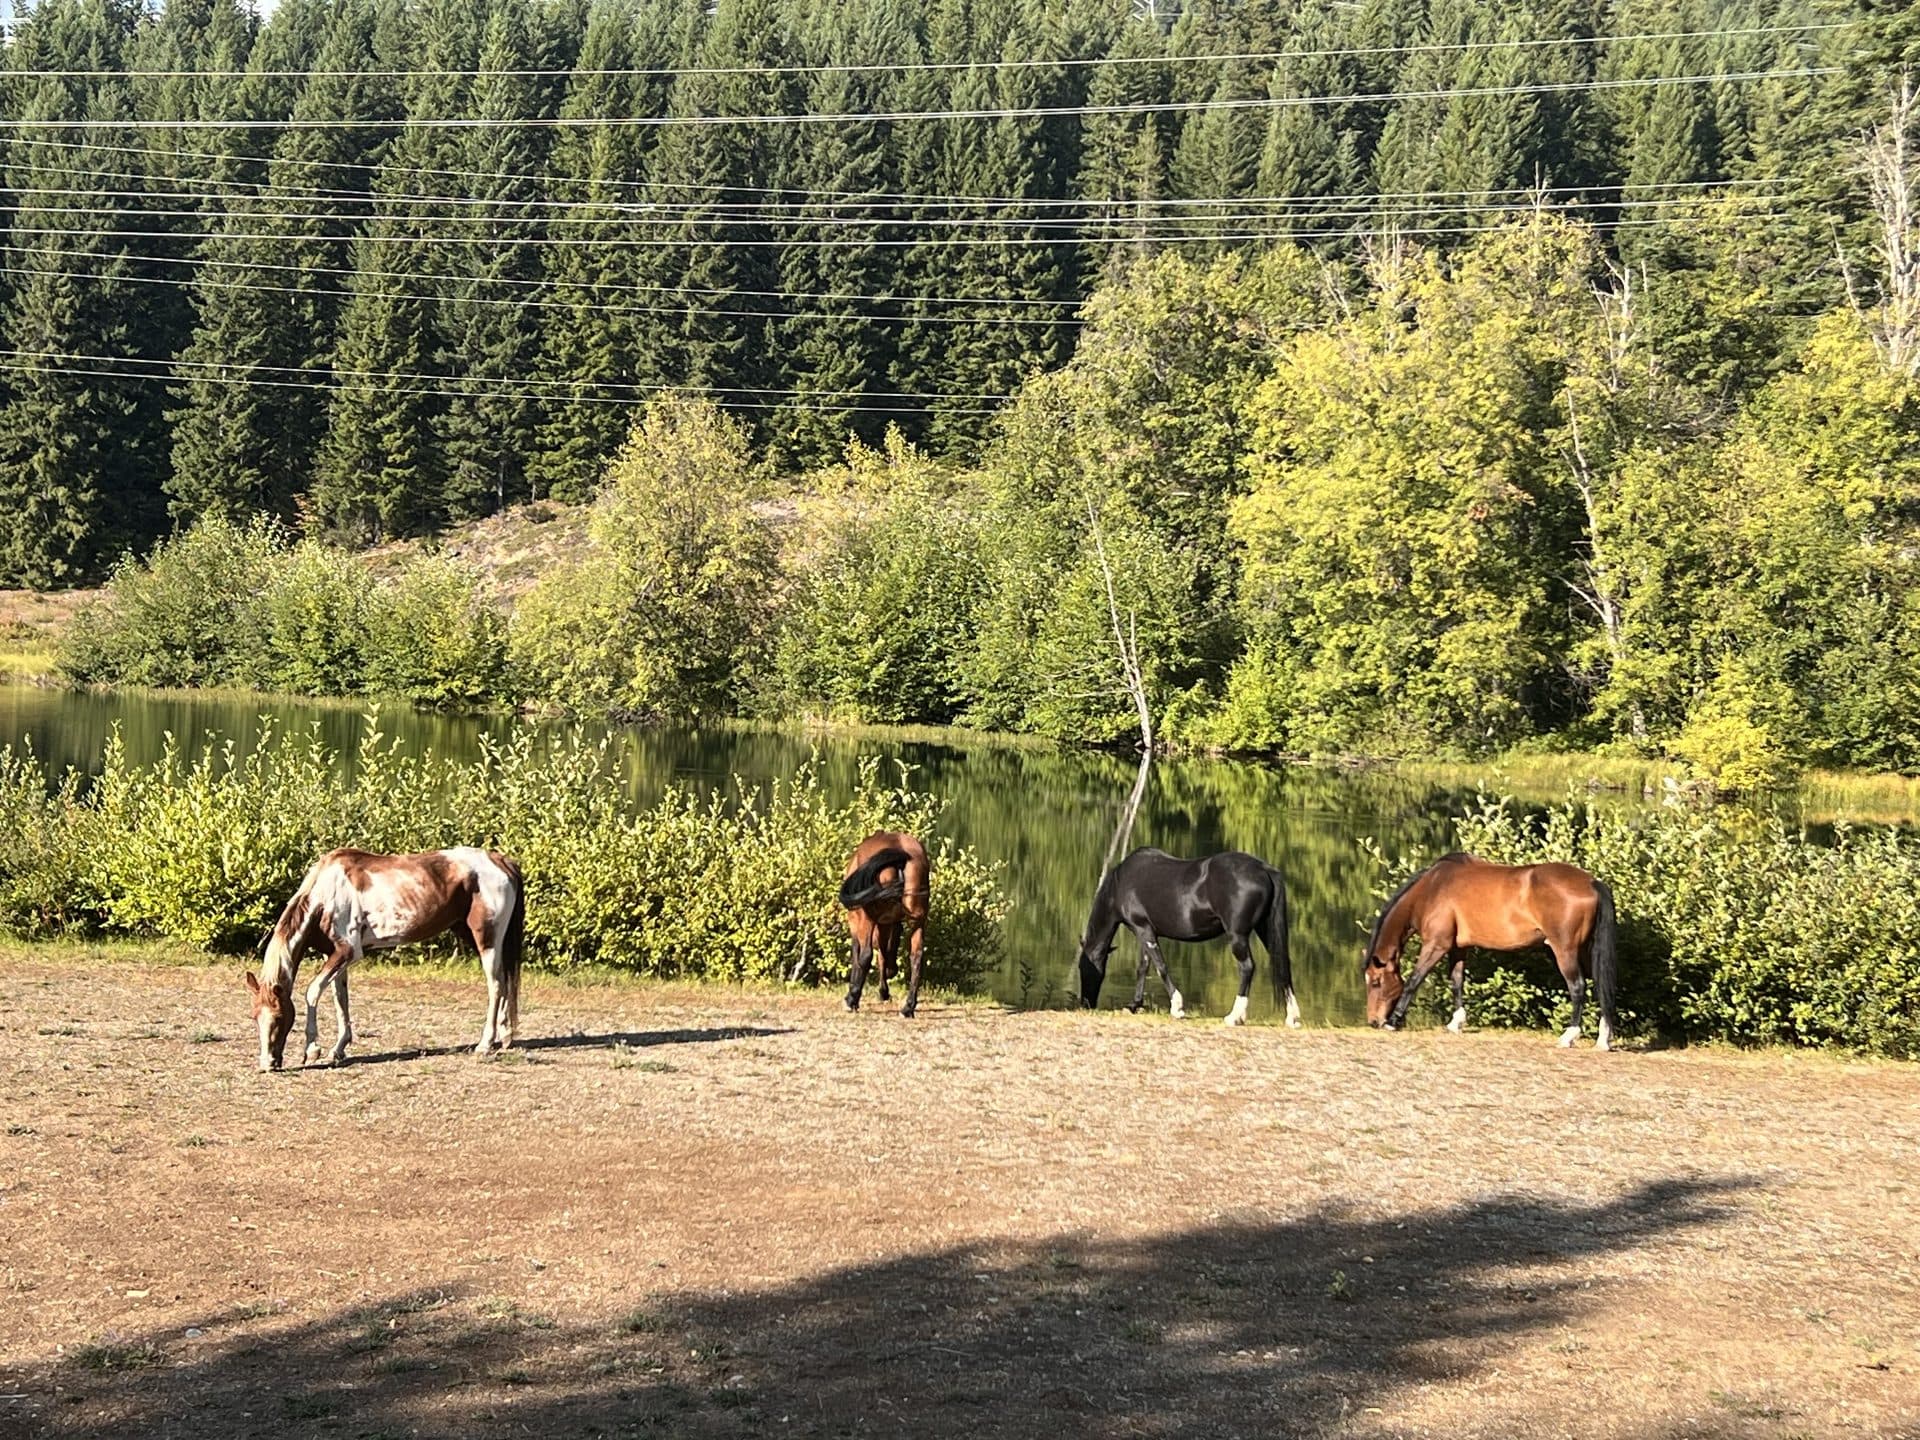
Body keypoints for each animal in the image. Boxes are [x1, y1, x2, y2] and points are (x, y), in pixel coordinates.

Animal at [243, 847, 525, 1072]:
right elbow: (340, 999)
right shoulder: (335, 956)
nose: (267, 1064)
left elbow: (313, 992)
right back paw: (505, 1037)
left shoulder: (348, 952)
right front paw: (338, 1049)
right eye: (255, 1017)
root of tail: (501, 861)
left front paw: (312, 1050)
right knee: (504, 983)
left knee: (496, 986)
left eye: (279, 1017)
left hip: (486, 939)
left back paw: (485, 1044)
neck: (325, 894)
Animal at [839, 831, 930, 1018]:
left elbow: (858, 954)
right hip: (918, 920)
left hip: (866, 918)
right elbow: (884, 953)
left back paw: (852, 999)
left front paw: (854, 995)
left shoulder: (857, 921)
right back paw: (908, 1007)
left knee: (866, 955)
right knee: (916, 957)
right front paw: (885, 988)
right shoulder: (888, 923)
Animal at [1076, 848, 1298, 1027]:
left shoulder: (1144, 930)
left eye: (1083, 968)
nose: (1086, 1004)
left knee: (1247, 967)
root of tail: (1263, 869)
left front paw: (1177, 1008)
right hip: (1265, 930)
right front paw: (1134, 1005)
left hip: (1237, 936)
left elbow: (1161, 967)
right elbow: (1143, 968)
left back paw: (1234, 1017)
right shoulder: (1143, 931)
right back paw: (1292, 1017)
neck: (1120, 883)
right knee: (1283, 964)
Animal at [1362, 852, 1617, 1050]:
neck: (1432, 888)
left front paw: (1393, 1021)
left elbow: (1414, 980)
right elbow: (1457, 982)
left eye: (1375, 982)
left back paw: (1568, 1036)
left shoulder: (1436, 945)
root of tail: (1591, 882)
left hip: (1565, 951)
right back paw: (1603, 1039)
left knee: (1578, 987)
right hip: (1585, 951)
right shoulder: (1458, 948)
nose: (1373, 1021)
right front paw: (1456, 1022)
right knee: (1599, 985)